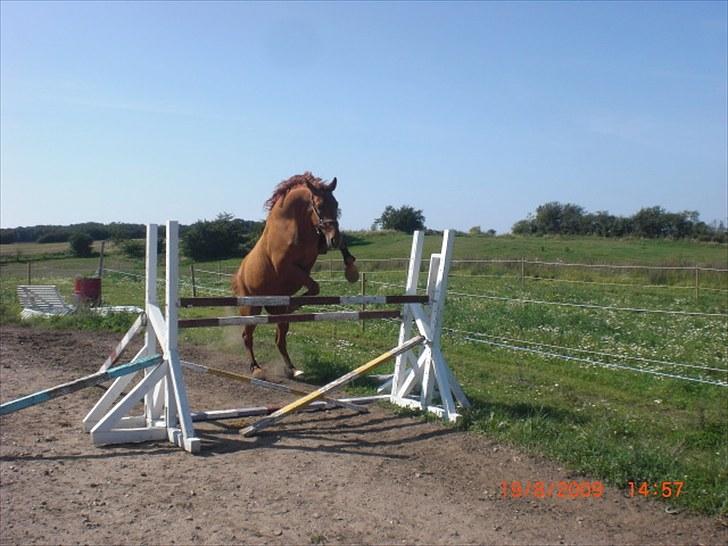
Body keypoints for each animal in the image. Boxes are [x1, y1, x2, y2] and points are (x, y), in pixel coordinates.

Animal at [232, 172, 360, 376]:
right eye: (319, 205)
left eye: (336, 204)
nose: (333, 238)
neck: (293, 223)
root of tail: (238, 276)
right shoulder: (287, 268)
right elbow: (314, 287)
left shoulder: (317, 248)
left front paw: (351, 268)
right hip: (251, 307)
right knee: (247, 336)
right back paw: (256, 368)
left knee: (280, 338)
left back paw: (292, 368)